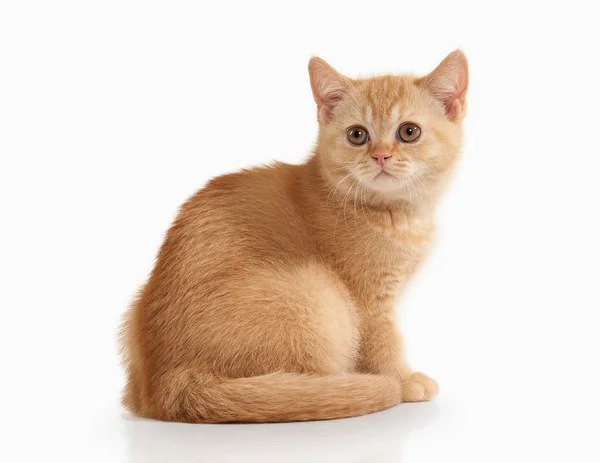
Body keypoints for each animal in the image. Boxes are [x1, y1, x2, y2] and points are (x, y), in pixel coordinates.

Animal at [120, 50, 468, 424]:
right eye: (357, 135)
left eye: (409, 132)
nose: (381, 155)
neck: (395, 215)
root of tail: (170, 382)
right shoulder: (369, 300)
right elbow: (384, 341)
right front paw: (403, 380)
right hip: (317, 293)